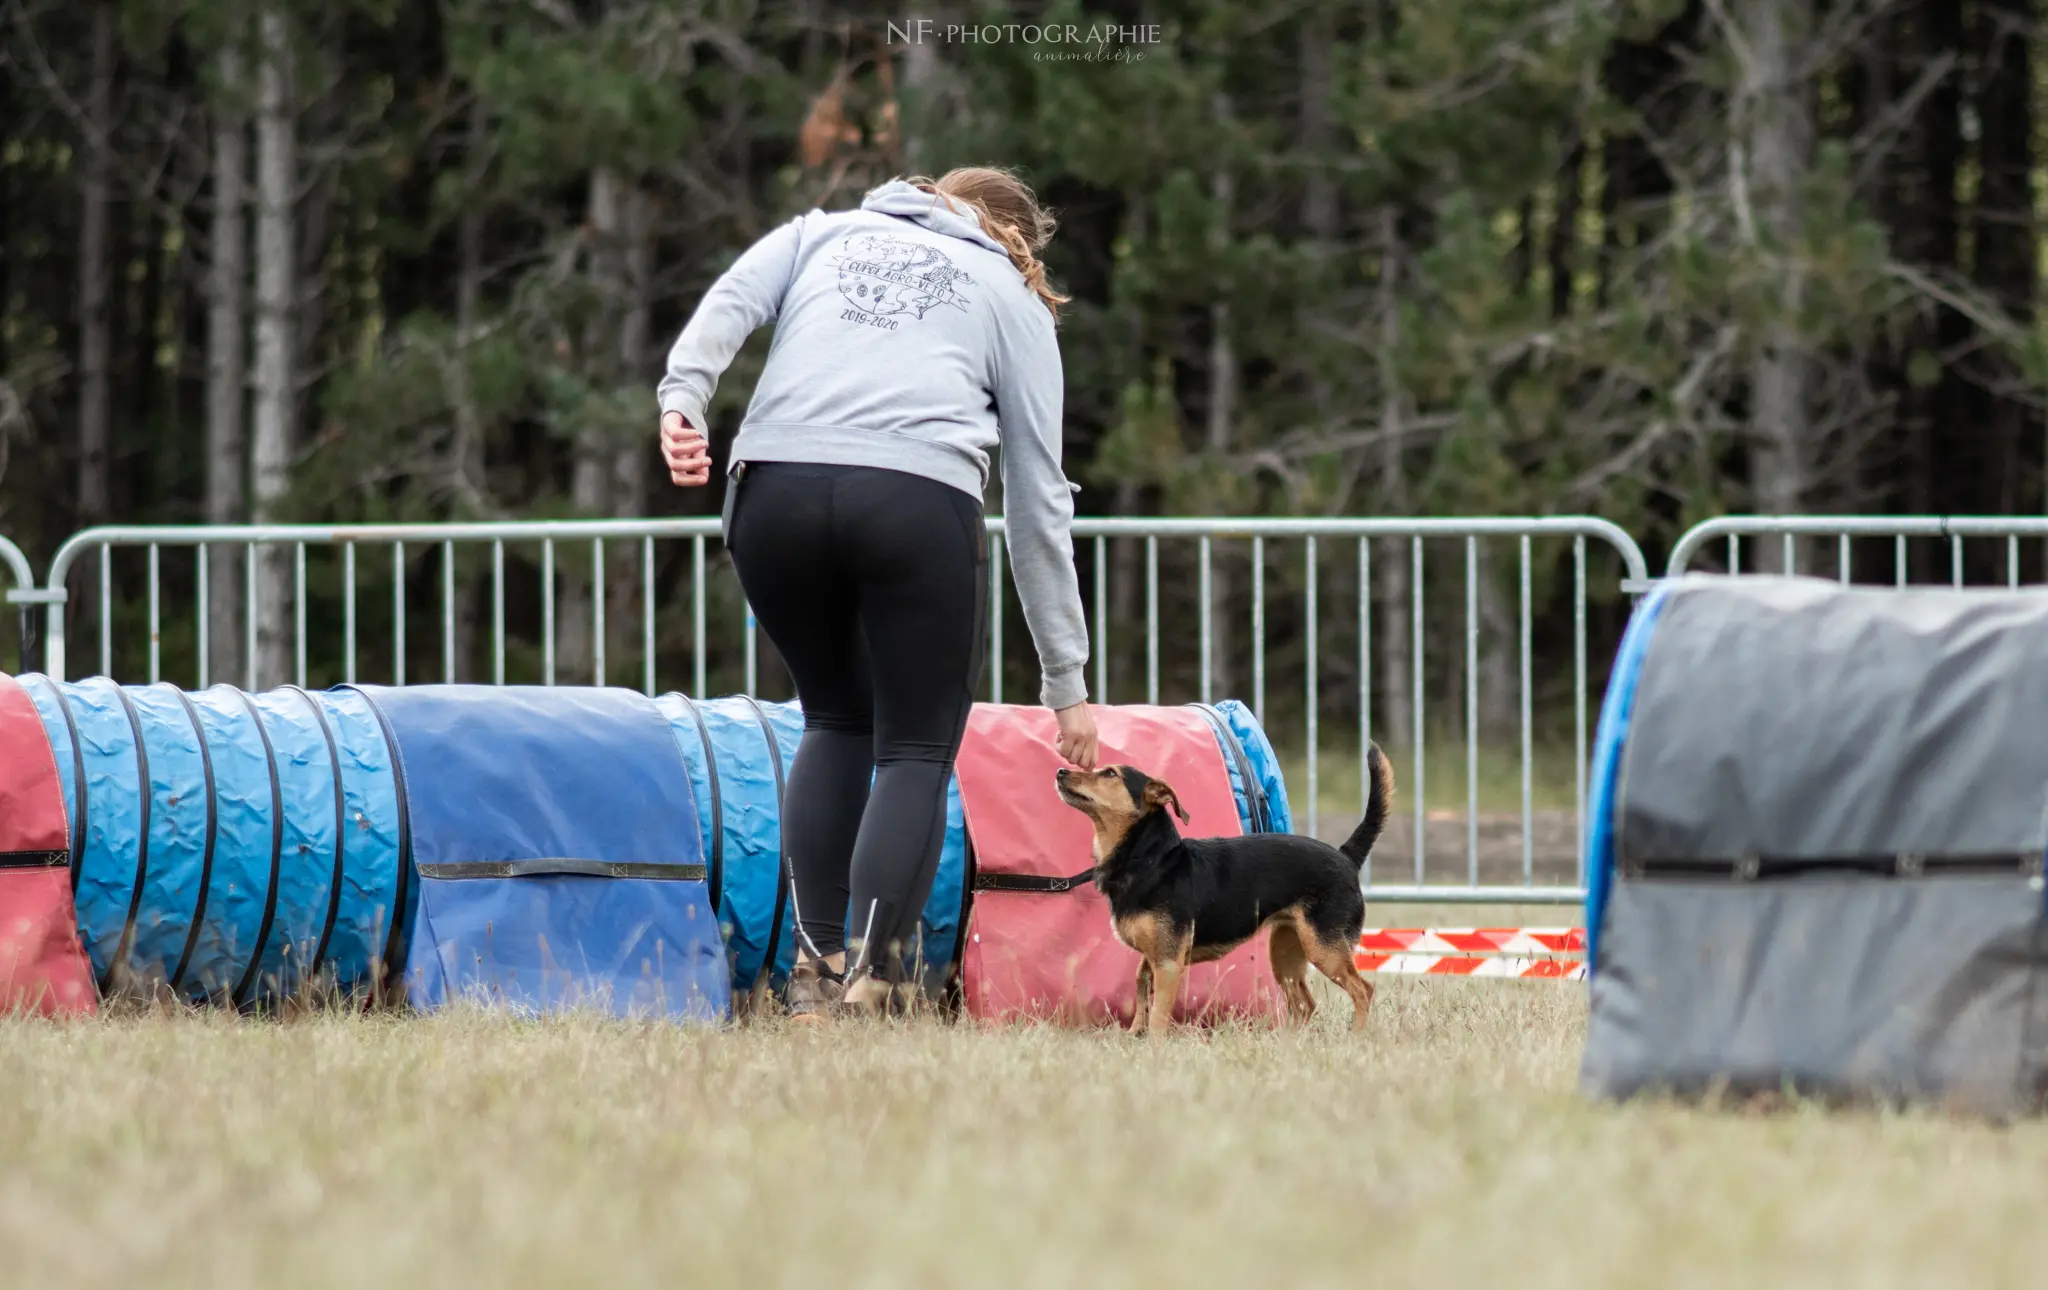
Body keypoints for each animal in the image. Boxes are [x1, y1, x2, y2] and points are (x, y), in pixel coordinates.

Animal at [1056, 749, 1392, 1040]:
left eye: (1110, 773)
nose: (1060, 771)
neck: (1149, 858)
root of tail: (1346, 857)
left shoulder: (1168, 962)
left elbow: (1159, 1014)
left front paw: (1153, 1046)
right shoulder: (1154, 957)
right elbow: (1140, 986)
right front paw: (1134, 1033)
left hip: (1325, 949)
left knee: (1362, 990)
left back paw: (1357, 1037)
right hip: (1285, 952)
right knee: (1304, 1004)